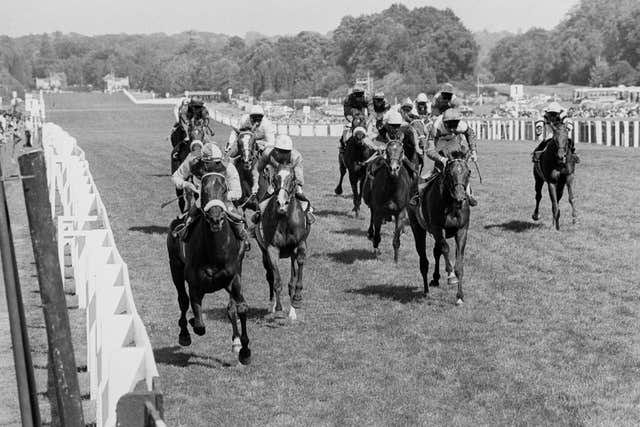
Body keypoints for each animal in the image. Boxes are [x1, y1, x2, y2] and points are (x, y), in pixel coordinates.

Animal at [166, 166, 251, 364]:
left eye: (224, 189)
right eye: (203, 190)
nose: (215, 219)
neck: (215, 251)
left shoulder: (234, 277)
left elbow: (241, 308)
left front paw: (244, 351)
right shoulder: (195, 285)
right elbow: (199, 324)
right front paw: (191, 325)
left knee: (231, 307)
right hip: (175, 267)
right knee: (183, 301)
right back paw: (184, 333)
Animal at [254, 164, 312, 320]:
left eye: (292, 179)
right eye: (275, 179)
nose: (282, 203)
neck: (285, 219)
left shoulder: (300, 243)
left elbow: (300, 264)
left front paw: (297, 299)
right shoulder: (271, 249)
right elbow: (276, 280)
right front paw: (278, 309)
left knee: (291, 278)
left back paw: (292, 310)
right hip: (264, 254)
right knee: (270, 276)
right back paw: (271, 307)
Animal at [408, 150, 472, 304]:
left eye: (468, 172)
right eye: (449, 173)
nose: (460, 197)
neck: (452, 205)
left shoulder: (462, 230)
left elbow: (459, 263)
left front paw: (460, 296)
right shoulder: (436, 228)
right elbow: (445, 248)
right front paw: (451, 276)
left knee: (436, 252)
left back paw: (435, 279)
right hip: (417, 227)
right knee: (424, 260)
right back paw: (426, 290)